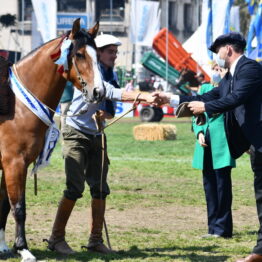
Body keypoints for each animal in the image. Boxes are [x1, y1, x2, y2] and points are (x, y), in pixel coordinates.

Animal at [0, 18, 103, 262]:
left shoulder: (8, 165)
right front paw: (23, 249)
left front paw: (4, 246)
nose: (99, 91)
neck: (19, 105)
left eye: (98, 55)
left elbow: (3, 205)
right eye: (80, 54)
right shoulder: (13, 163)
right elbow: (19, 207)